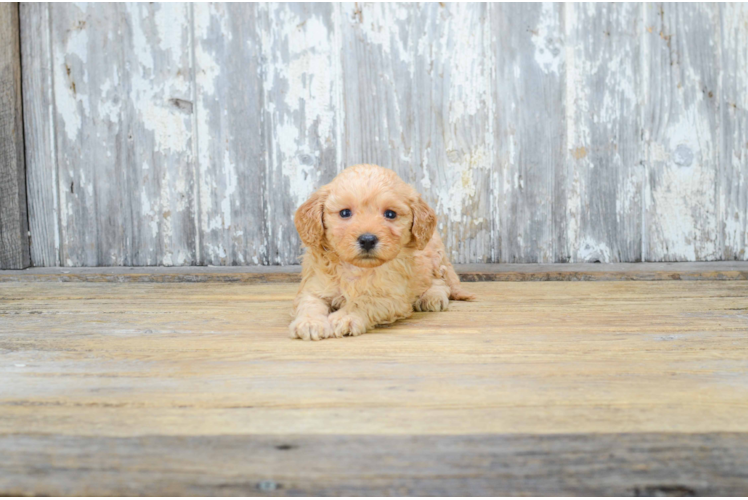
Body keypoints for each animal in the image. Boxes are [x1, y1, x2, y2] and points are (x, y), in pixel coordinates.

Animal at [290, 164, 474, 340]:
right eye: (345, 212)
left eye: (390, 214)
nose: (367, 240)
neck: (357, 268)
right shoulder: (314, 286)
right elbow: (310, 303)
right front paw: (309, 322)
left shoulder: (392, 297)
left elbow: (364, 301)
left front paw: (345, 317)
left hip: (434, 256)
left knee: (440, 281)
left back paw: (432, 297)